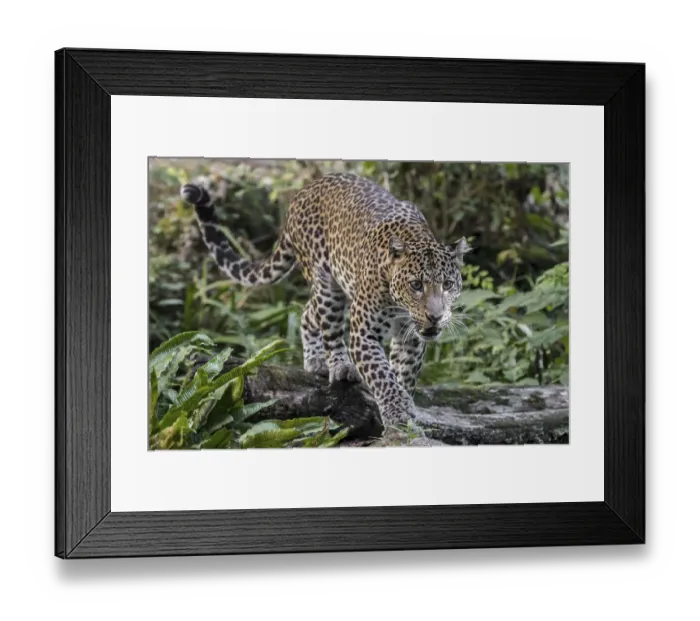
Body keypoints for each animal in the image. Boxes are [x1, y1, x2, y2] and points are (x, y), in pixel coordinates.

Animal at [180, 172, 470, 436]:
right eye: (416, 285)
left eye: (447, 284)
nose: (435, 316)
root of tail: (303, 191)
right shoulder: (364, 334)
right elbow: (382, 375)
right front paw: (397, 412)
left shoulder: (410, 337)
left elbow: (402, 373)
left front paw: (404, 412)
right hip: (326, 283)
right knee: (328, 326)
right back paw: (339, 366)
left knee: (308, 313)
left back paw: (316, 360)